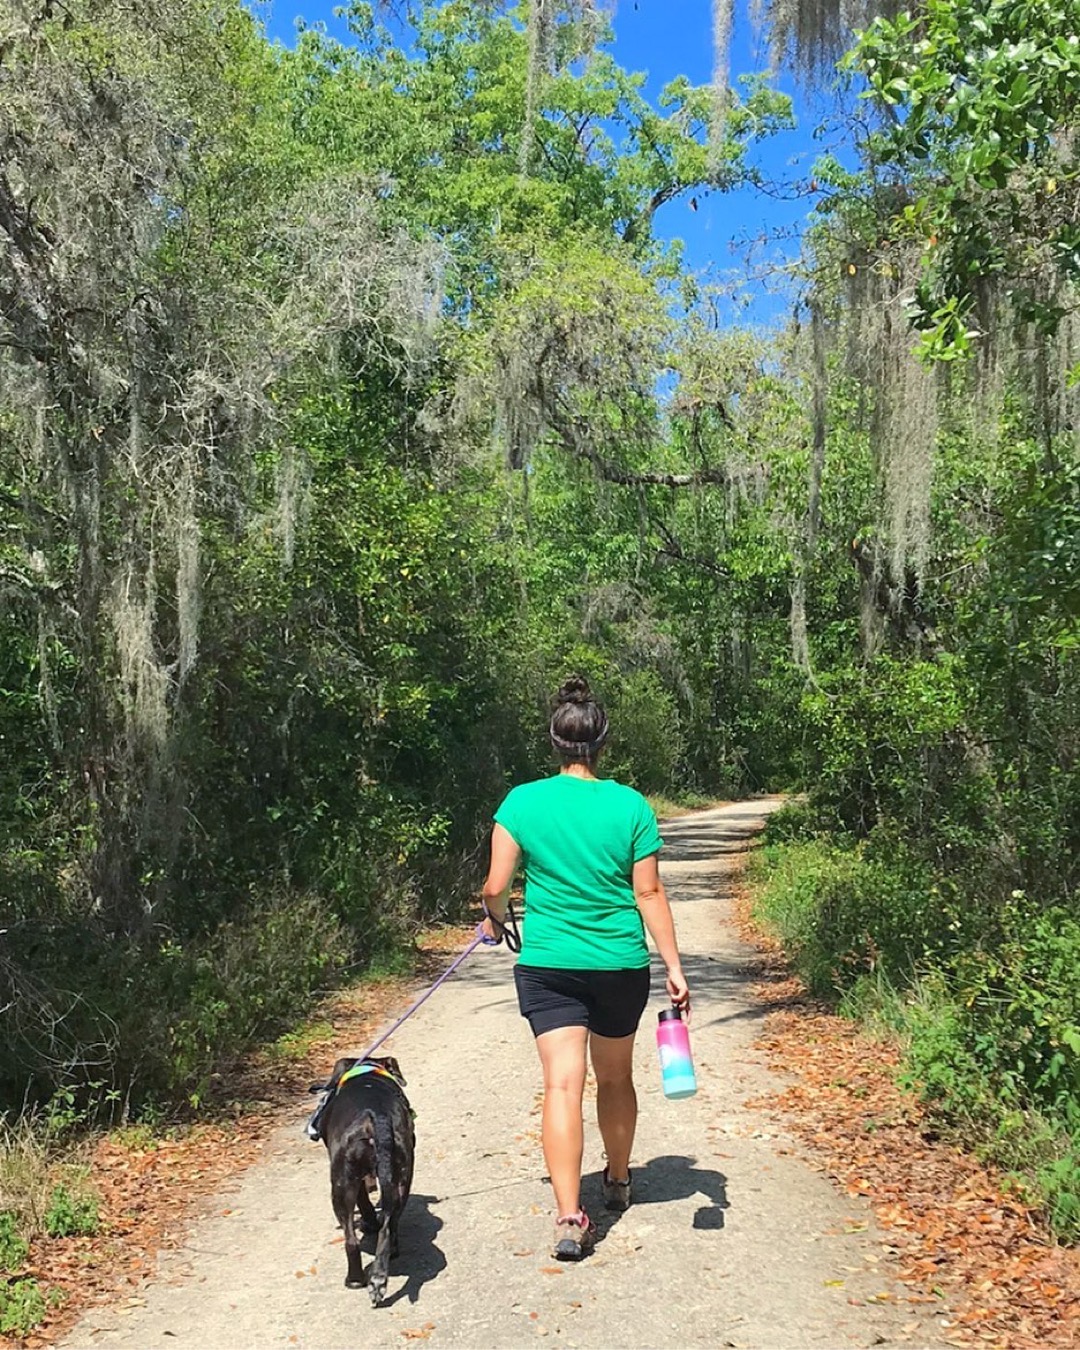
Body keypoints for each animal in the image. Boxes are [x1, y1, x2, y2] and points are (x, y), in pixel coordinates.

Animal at [311, 1053, 418, 1306]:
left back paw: (355, 1279)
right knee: (388, 1226)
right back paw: (379, 1276)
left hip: (342, 1185)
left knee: (351, 1239)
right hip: (401, 1177)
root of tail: (374, 1116)